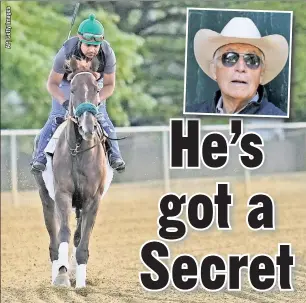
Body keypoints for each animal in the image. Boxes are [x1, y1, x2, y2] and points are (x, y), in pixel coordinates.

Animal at [32, 56, 110, 288]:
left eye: (96, 89)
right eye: (73, 89)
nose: (87, 126)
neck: (78, 151)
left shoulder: (93, 199)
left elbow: (83, 239)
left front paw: (81, 283)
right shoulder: (62, 194)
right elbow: (64, 234)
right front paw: (62, 276)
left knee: (76, 234)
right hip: (46, 197)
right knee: (54, 236)